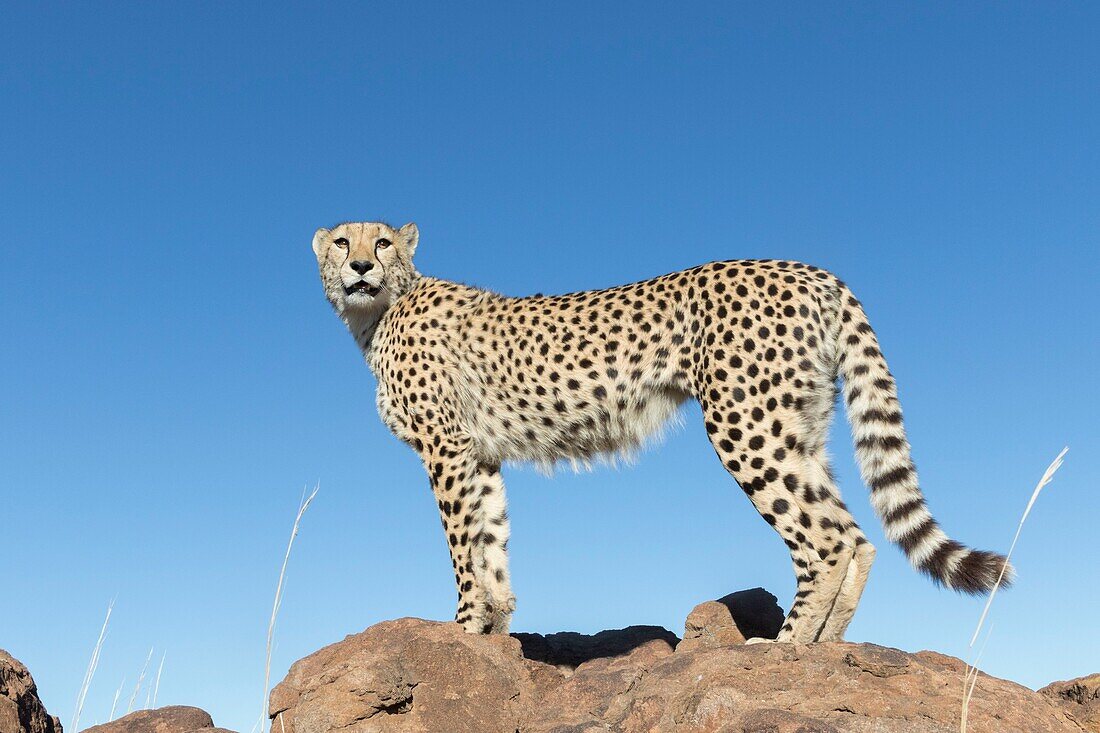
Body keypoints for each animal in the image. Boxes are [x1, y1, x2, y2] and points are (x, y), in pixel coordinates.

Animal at [312, 221, 1012, 638]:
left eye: (383, 244)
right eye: (344, 243)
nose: (361, 269)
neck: (378, 313)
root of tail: (812, 270)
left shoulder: (447, 450)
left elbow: (464, 549)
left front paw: (459, 631)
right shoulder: (479, 454)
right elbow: (492, 544)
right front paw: (495, 636)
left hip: (744, 424)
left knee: (829, 539)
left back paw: (783, 651)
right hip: (798, 427)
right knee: (858, 536)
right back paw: (824, 650)